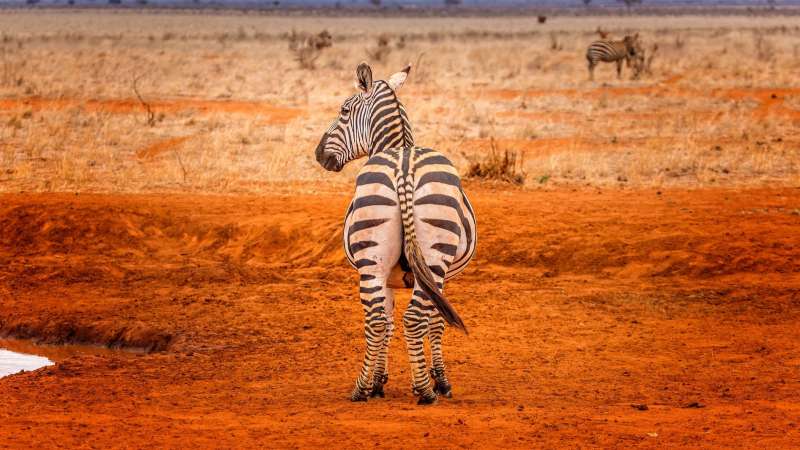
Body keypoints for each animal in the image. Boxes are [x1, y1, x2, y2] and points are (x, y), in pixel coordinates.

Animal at [315, 62, 476, 404]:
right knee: (412, 320)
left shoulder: (393, 276)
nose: (318, 155)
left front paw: (380, 381)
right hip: (431, 258)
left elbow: (394, 322)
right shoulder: (438, 276)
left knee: (378, 320)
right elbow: (436, 322)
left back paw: (362, 388)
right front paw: (440, 381)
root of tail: (403, 168)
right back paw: (423, 390)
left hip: (373, 261)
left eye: (344, 110)